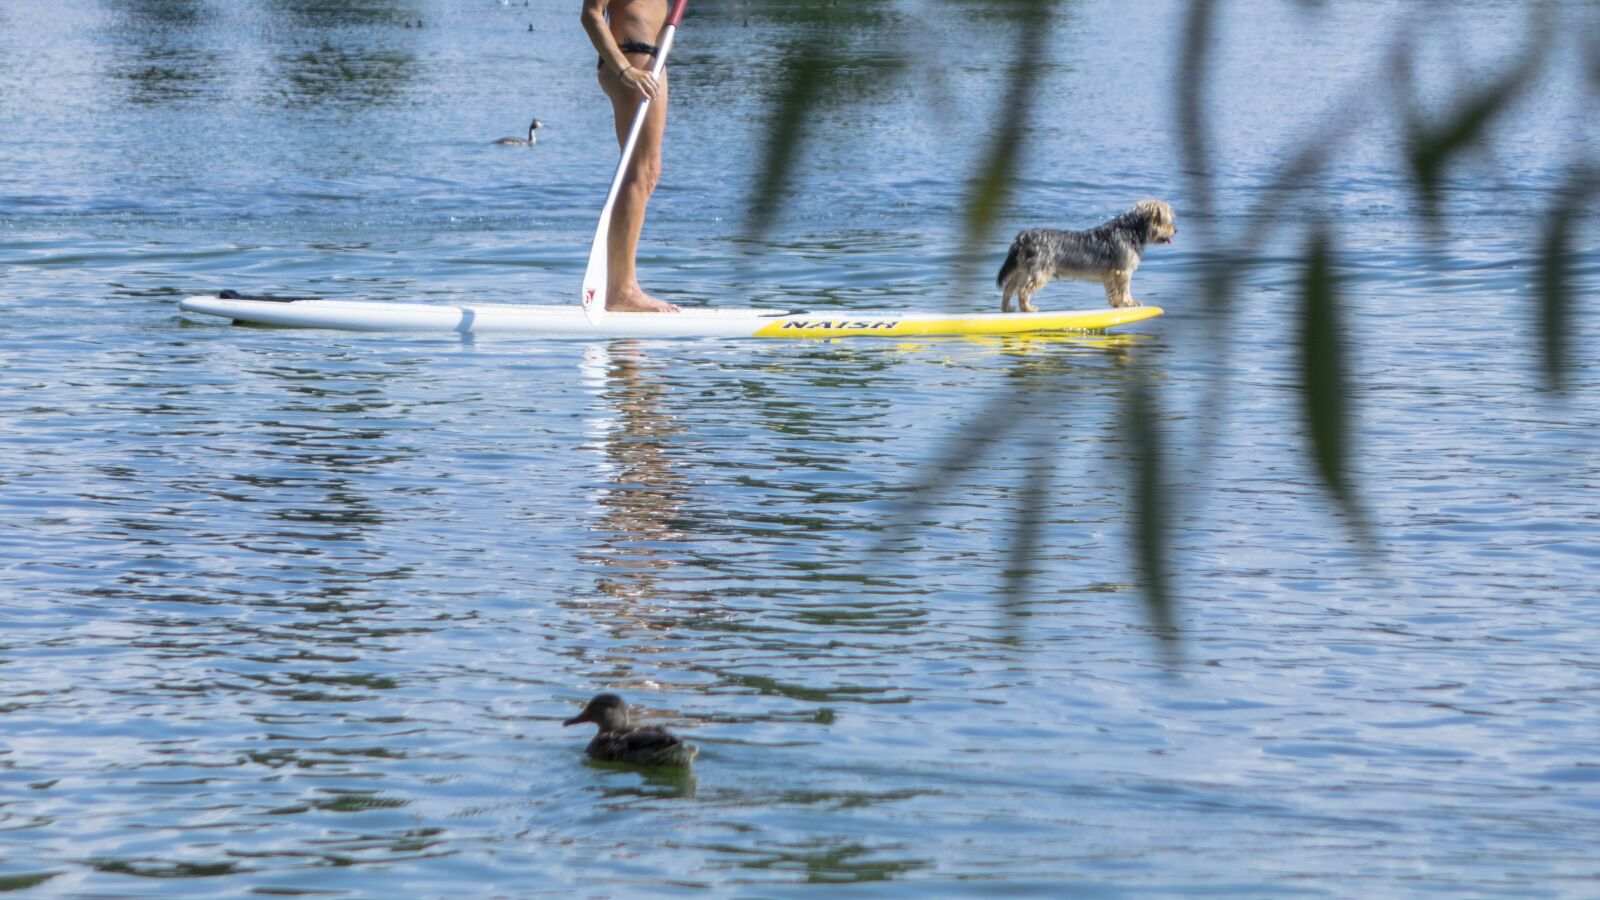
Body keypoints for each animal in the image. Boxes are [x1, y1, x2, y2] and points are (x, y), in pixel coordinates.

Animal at [998, 197, 1177, 310]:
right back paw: (1027, 308)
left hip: (1023, 269)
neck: (1133, 230)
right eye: (1167, 222)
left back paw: (1008, 308)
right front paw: (1130, 303)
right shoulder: (1123, 271)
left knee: (1009, 287)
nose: (1176, 230)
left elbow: (1113, 291)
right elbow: (1124, 289)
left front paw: (1118, 304)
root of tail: (1023, 237)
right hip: (1039, 271)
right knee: (1022, 290)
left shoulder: (1111, 274)